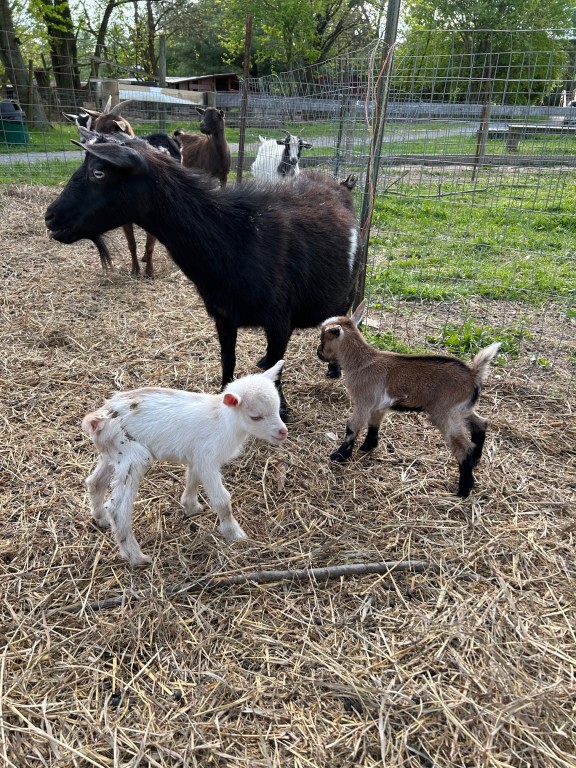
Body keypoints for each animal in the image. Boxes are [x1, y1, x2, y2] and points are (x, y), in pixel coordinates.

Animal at [45, 136, 361, 417]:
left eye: (98, 172)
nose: (50, 217)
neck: (236, 235)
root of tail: (340, 184)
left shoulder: (280, 320)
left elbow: (278, 364)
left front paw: (282, 409)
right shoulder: (222, 315)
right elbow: (228, 359)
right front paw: (225, 395)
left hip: (349, 286)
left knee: (342, 315)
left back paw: (334, 368)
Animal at [81, 361, 288, 566]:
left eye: (278, 407)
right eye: (255, 416)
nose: (282, 432)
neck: (224, 422)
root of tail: (96, 420)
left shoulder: (196, 455)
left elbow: (192, 479)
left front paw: (191, 507)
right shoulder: (207, 459)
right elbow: (222, 499)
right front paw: (234, 533)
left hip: (113, 453)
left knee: (94, 482)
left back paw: (101, 519)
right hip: (133, 455)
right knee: (117, 509)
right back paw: (137, 557)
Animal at [317, 301, 500, 497]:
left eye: (323, 339)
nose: (318, 353)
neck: (362, 362)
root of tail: (473, 374)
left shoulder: (363, 401)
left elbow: (352, 427)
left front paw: (340, 456)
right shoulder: (378, 406)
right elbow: (374, 425)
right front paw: (368, 447)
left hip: (446, 413)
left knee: (463, 447)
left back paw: (464, 489)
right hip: (462, 409)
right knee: (481, 424)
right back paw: (476, 461)